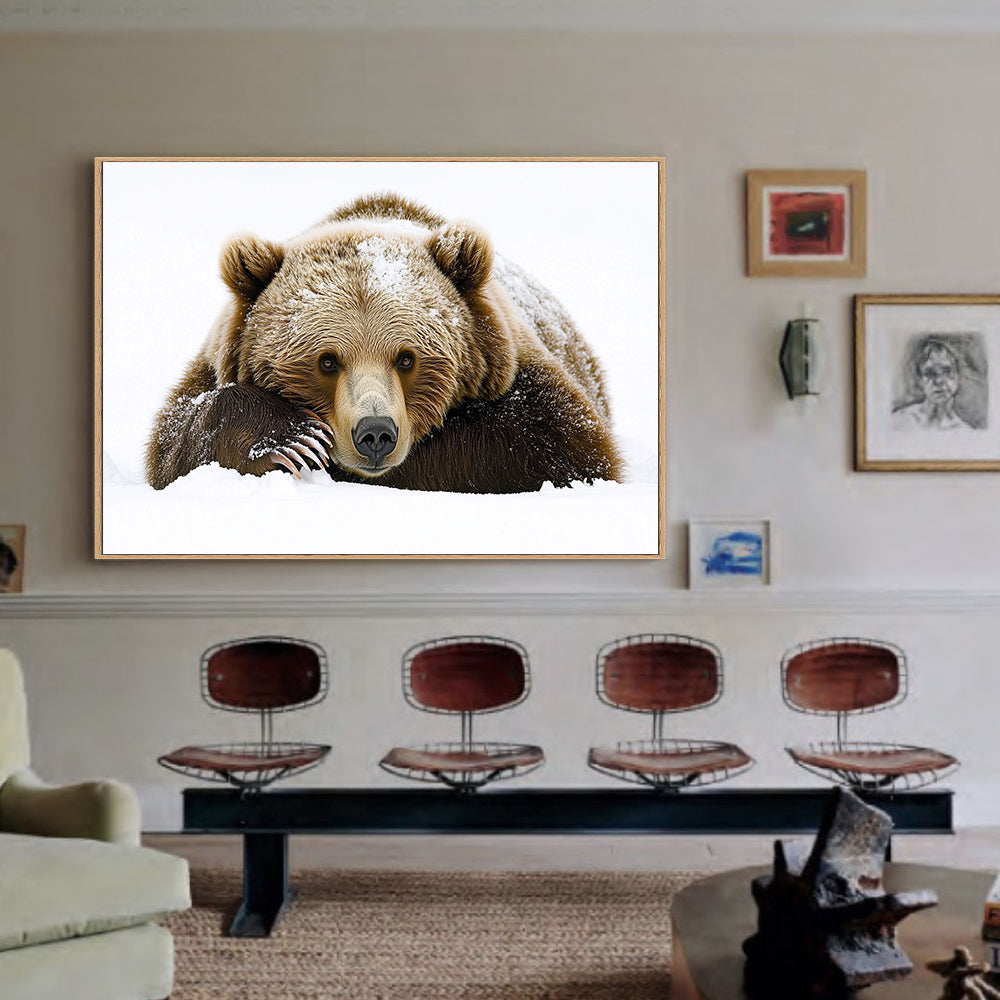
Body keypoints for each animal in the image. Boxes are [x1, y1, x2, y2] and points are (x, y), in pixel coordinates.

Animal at [145, 192, 623, 494]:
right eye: (326, 361)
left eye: (407, 358)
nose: (375, 433)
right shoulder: (213, 364)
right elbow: (174, 441)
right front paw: (291, 439)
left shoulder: (521, 375)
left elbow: (557, 447)